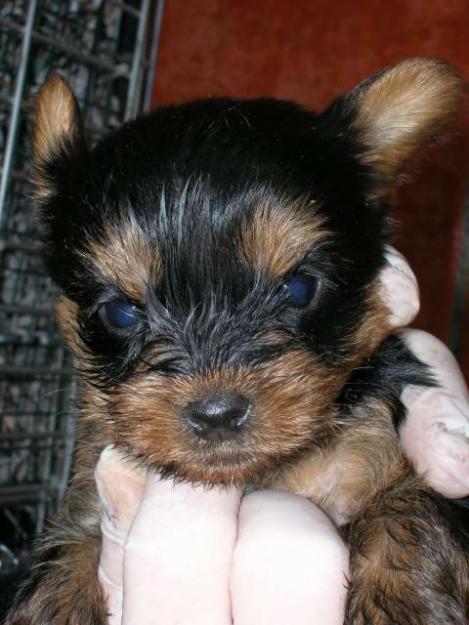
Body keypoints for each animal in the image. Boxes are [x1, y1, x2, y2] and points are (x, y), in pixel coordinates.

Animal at [6, 57, 468, 620]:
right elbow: (64, 552)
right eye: (118, 312)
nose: (217, 412)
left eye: (299, 287)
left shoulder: (384, 435)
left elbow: (411, 504)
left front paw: (406, 604)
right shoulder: (85, 499)